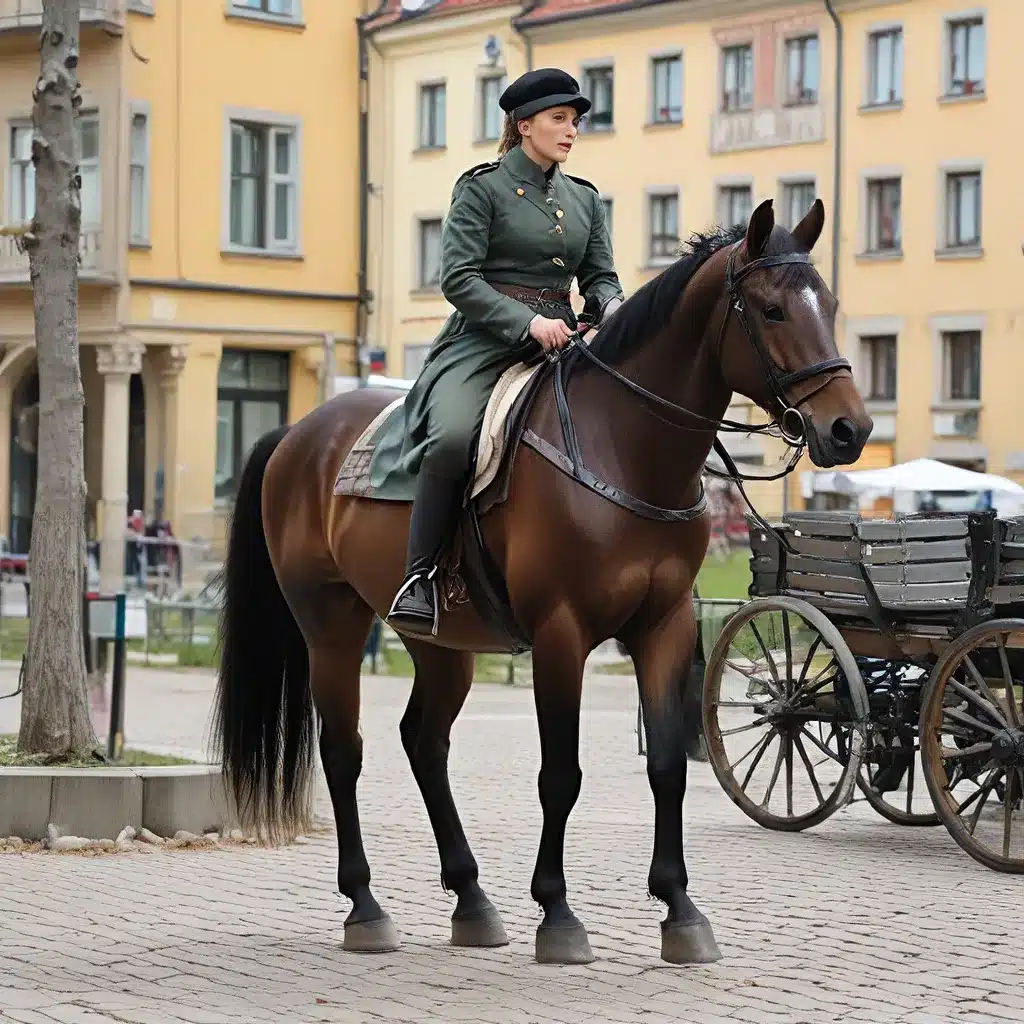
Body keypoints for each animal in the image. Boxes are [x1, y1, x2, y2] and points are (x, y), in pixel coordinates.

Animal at [211, 201, 868, 966]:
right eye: (770, 309)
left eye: (830, 305)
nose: (849, 428)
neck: (624, 445)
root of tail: (297, 434)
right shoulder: (562, 632)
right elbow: (561, 774)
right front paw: (557, 913)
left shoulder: (666, 626)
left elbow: (668, 765)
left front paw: (679, 909)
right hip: (331, 628)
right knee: (344, 752)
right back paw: (366, 906)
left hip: (440, 643)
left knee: (423, 743)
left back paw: (470, 898)